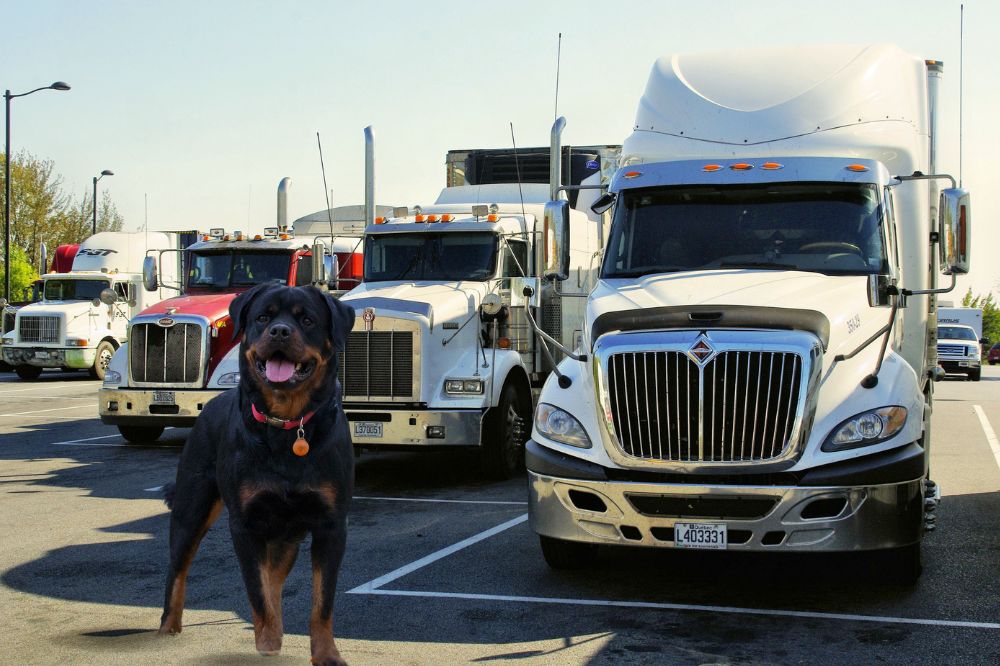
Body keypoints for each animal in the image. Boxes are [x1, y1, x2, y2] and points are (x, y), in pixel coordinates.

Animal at [158, 282, 358, 660]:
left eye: (307, 320)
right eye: (263, 317)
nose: (279, 331)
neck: (287, 426)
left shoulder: (331, 525)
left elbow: (321, 602)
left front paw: (326, 654)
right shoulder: (245, 524)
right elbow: (256, 590)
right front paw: (266, 645)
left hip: (286, 534)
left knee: (275, 580)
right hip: (192, 509)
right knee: (177, 570)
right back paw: (167, 628)